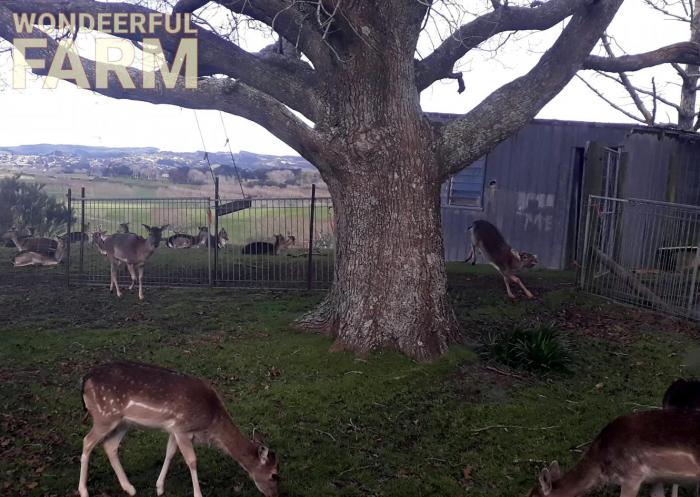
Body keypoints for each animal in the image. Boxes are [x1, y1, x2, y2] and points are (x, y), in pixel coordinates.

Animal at [79, 361, 279, 497]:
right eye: (274, 475)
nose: (274, 494)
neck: (210, 423)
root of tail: (85, 380)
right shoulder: (183, 429)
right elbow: (192, 460)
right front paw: (198, 494)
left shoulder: (174, 429)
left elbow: (170, 453)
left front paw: (159, 487)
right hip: (104, 416)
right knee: (87, 441)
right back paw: (83, 491)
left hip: (122, 422)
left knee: (110, 446)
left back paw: (130, 488)